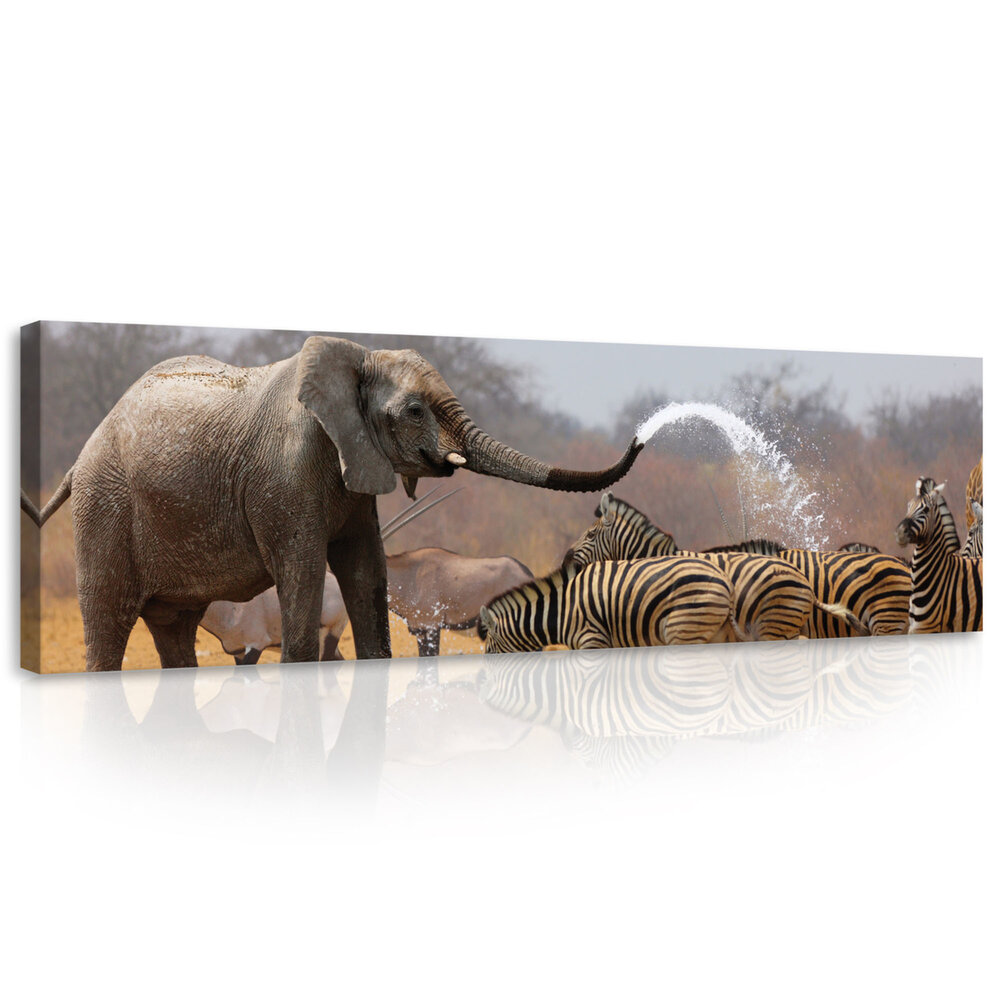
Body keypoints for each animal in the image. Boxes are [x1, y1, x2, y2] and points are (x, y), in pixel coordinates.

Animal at [37, 336, 643, 671]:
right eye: (416, 411)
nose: (640, 438)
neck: (355, 359)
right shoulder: (286, 476)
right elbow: (304, 577)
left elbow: (365, 571)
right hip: (104, 506)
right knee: (109, 625)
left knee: (174, 632)